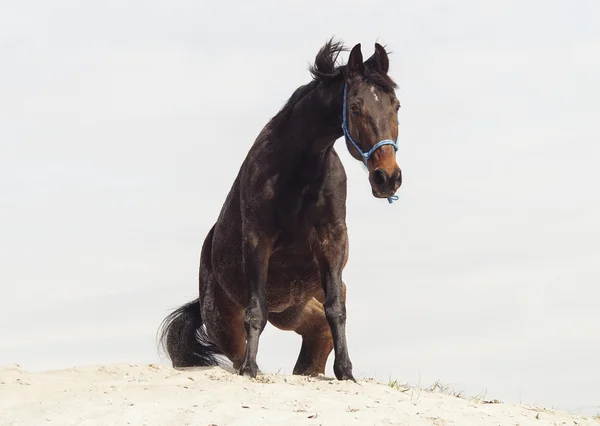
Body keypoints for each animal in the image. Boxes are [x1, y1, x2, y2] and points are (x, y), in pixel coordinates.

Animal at [159, 38, 404, 382]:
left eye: (396, 106)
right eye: (355, 108)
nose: (387, 178)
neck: (298, 172)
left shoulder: (332, 239)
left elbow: (336, 309)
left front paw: (346, 372)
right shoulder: (257, 239)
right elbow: (256, 312)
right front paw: (251, 370)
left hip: (296, 309)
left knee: (317, 335)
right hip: (231, 324)